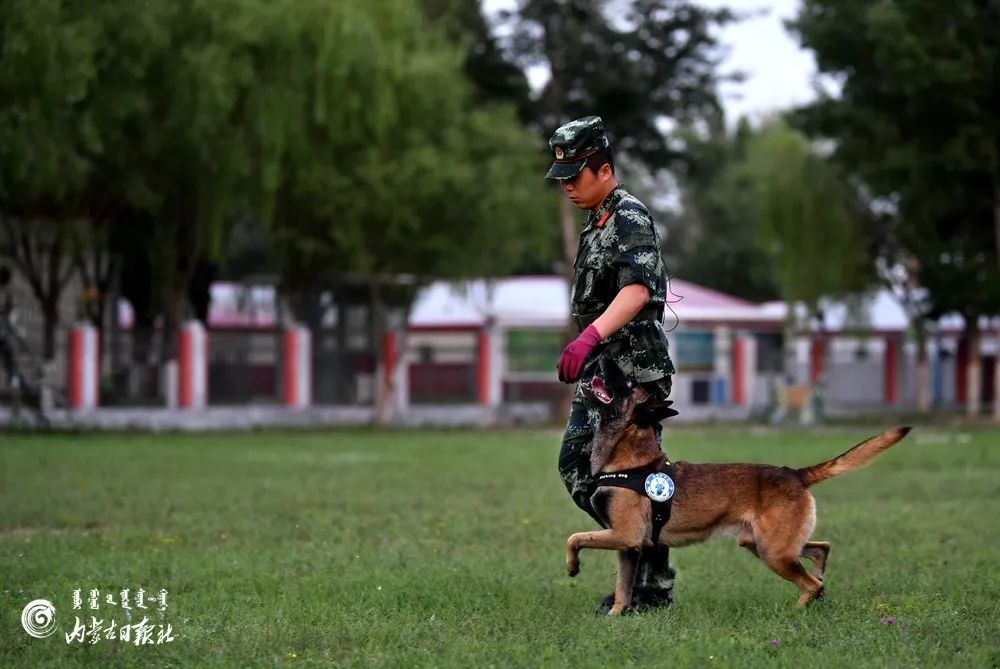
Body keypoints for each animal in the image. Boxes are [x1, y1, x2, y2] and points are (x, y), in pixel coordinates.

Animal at [568, 358, 912, 612]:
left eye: (627, 383)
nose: (603, 356)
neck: (629, 461)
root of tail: (795, 473)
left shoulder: (624, 535)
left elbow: (575, 538)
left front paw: (572, 568)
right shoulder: (629, 546)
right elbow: (622, 589)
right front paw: (615, 617)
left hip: (773, 552)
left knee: (810, 583)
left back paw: (797, 611)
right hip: (766, 545)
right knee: (821, 551)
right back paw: (818, 587)